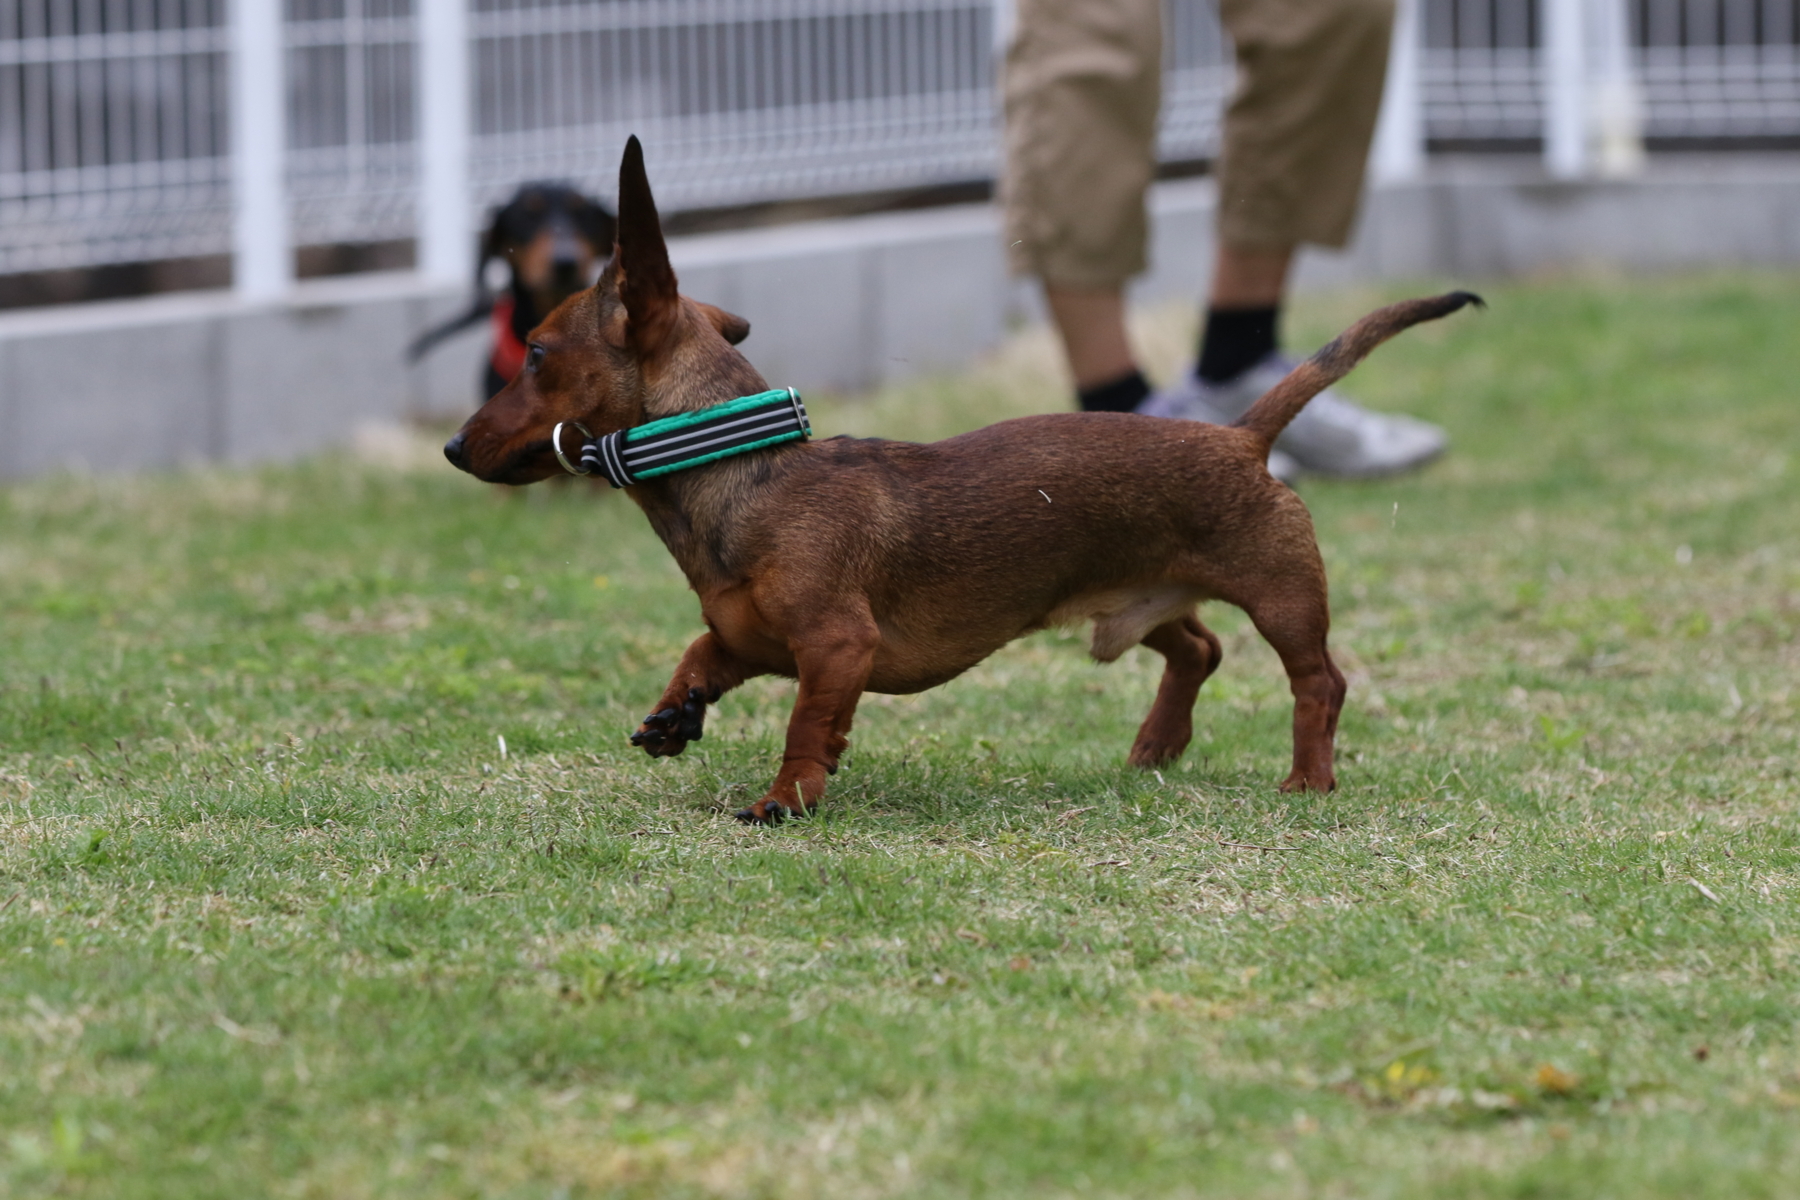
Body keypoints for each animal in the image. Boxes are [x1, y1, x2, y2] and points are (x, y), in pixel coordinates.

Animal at [439, 135, 1476, 820]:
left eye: (538, 353)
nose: (450, 449)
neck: (744, 471)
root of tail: (1241, 436)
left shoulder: (837, 648)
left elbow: (808, 726)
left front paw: (784, 800)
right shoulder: (745, 637)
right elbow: (701, 654)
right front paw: (674, 714)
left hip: (1282, 597)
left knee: (1318, 683)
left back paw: (1308, 780)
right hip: (1137, 598)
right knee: (1199, 650)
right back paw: (1156, 745)